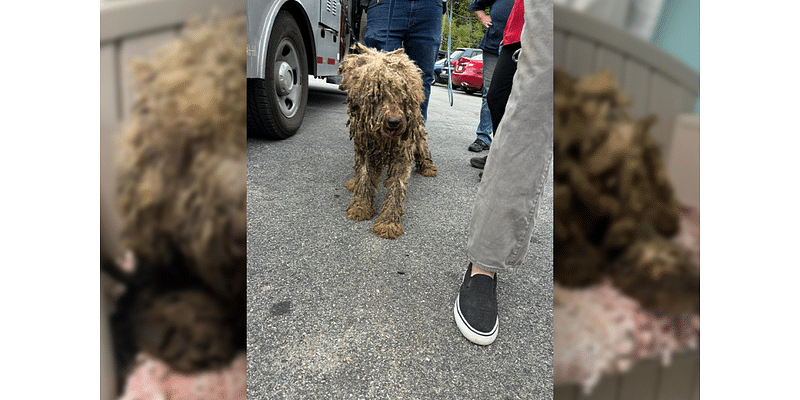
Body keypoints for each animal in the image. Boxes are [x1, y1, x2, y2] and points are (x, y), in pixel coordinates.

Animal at [338, 44, 438, 238]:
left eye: (403, 97)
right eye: (378, 95)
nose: (393, 122)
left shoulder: (402, 153)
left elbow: (396, 188)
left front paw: (389, 222)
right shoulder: (365, 146)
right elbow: (364, 175)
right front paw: (360, 206)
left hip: (417, 129)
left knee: (422, 146)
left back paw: (428, 167)